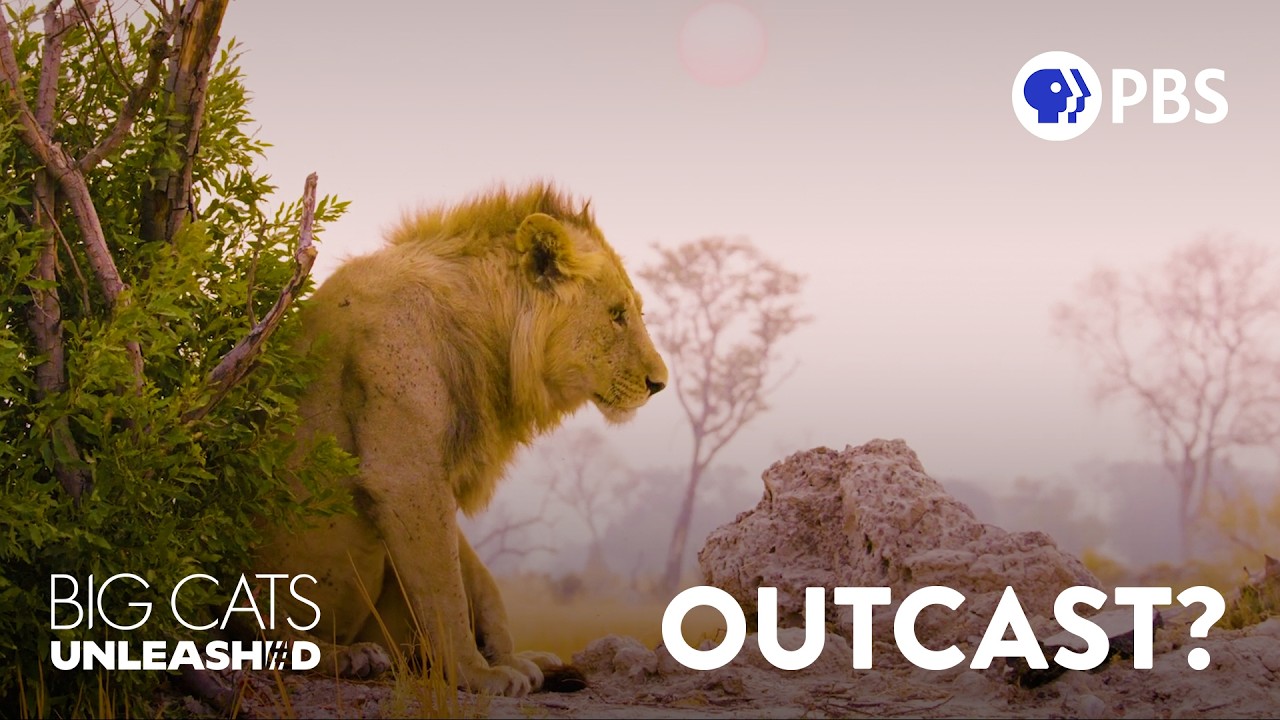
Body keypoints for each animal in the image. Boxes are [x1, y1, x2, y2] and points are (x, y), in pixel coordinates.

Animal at [253, 183, 668, 696]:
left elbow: (477, 581)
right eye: (616, 315)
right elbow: (444, 588)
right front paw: (479, 674)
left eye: (632, 313)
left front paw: (507, 659)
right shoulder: (405, 477)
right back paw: (350, 657)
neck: (489, 327)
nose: (660, 383)